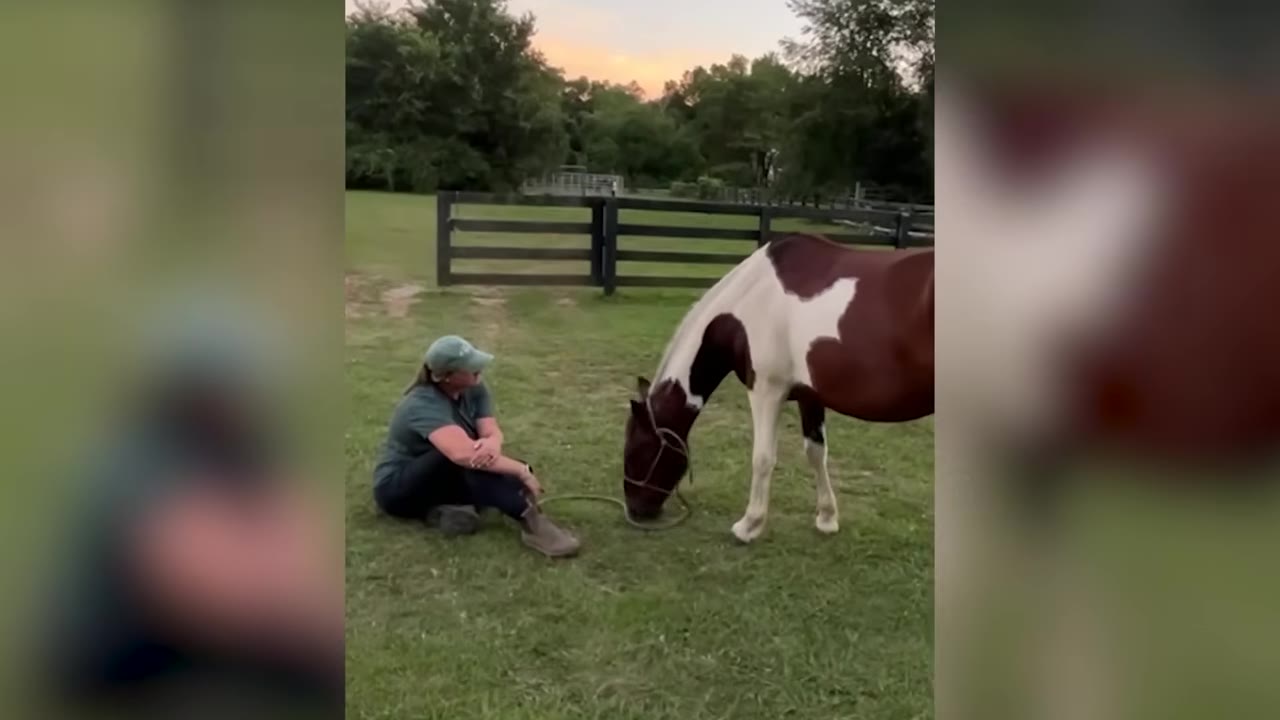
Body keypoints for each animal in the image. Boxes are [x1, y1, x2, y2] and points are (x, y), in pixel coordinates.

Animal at [621, 232, 934, 543]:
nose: (636, 511)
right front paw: (827, 518)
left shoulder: (766, 390)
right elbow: (815, 452)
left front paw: (748, 526)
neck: (751, 298)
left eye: (637, 449)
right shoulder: (810, 395)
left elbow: (762, 458)